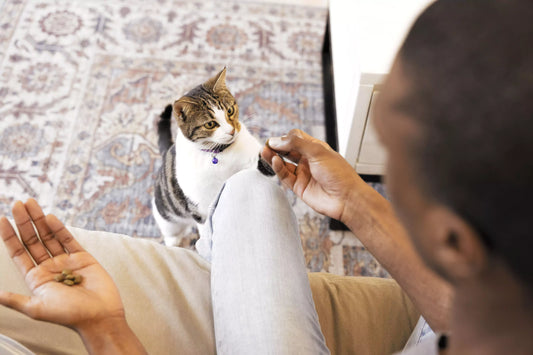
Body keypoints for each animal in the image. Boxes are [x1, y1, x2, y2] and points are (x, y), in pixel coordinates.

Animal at [152, 67, 272, 248]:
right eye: (210, 124)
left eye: (230, 111)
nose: (231, 130)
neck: (220, 153)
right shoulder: (199, 205)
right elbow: (205, 228)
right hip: (167, 216)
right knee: (171, 233)